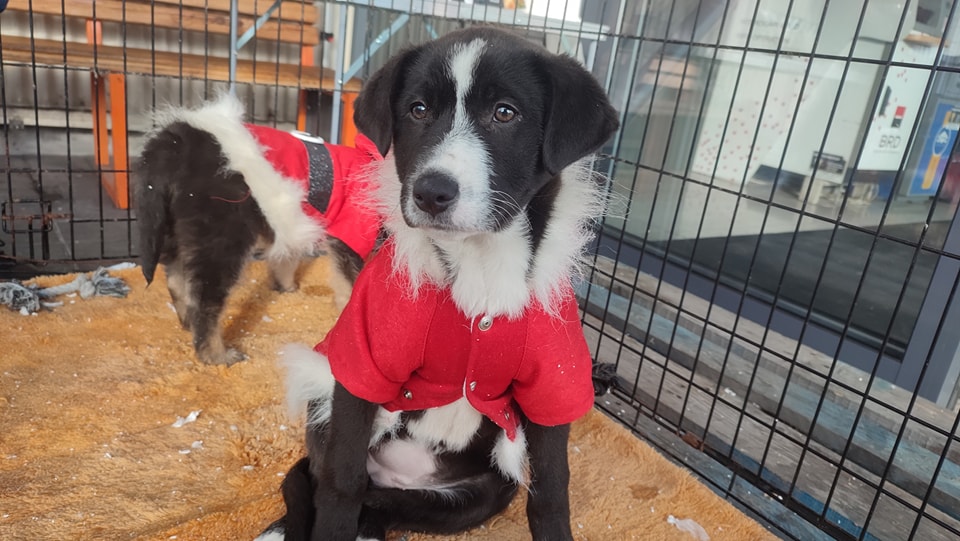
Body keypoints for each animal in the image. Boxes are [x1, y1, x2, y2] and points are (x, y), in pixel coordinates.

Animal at [135, 97, 381, 365]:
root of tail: (177, 140)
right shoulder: (350, 234)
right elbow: (351, 283)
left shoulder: (292, 222)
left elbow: (286, 259)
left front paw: (286, 288)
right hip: (223, 234)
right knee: (205, 298)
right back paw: (216, 355)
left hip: (174, 227)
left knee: (175, 278)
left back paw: (187, 322)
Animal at [257, 26, 619, 541]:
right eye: (418, 109)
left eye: (504, 112)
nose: (431, 192)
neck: (477, 265)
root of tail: (400, 478)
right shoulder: (362, 371)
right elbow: (340, 486)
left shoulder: (554, 381)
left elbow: (551, 493)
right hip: (323, 408)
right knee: (320, 481)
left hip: (483, 493)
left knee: (382, 505)